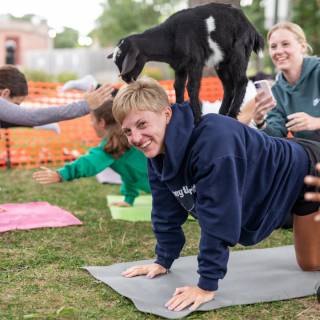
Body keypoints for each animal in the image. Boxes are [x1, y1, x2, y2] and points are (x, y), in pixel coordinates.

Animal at [106, 3, 264, 124]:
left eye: (123, 59)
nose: (125, 78)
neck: (170, 36)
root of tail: (251, 28)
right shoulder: (180, 66)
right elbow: (178, 86)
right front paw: (179, 108)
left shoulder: (195, 62)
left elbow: (192, 87)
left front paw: (197, 119)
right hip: (222, 61)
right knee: (228, 86)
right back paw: (221, 114)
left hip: (239, 52)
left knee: (241, 81)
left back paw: (231, 114)